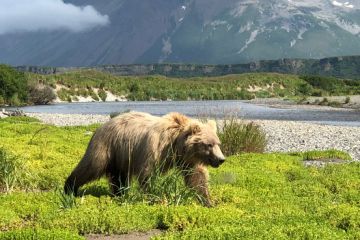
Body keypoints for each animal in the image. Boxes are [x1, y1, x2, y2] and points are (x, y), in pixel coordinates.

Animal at [63, 111, 224, 206]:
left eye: (218, 143)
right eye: (209, 145)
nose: (221, 159)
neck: (175, 143)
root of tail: (101, 126)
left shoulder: (187, 159)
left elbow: (196, 177)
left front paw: (207, 200)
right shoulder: (154, 148)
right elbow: (147, 174)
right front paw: (153, 196)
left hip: (121, 155)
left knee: (119, 177)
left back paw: (120, 193)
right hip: (106, 147)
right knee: (91, 166)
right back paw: (70, 187)